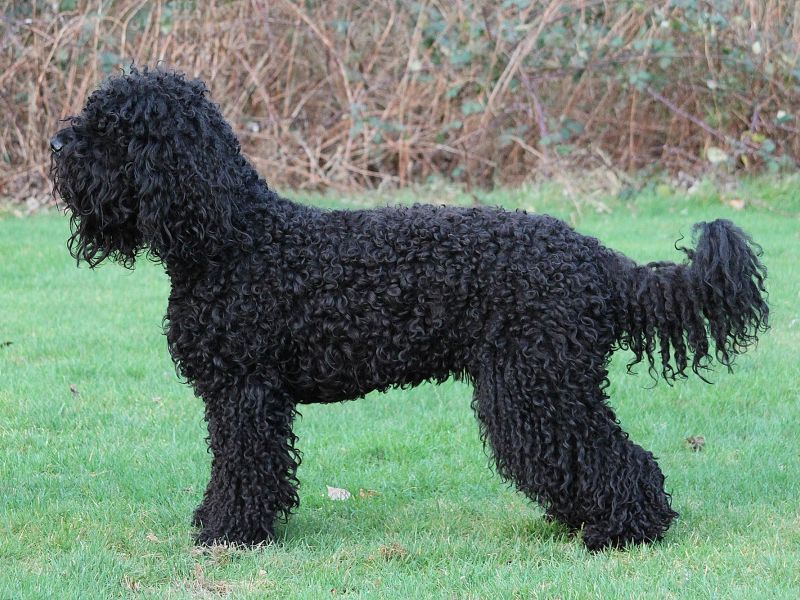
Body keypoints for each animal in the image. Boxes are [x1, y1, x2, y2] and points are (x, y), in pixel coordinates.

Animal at [51, 67, 768, 550]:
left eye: (112, 129)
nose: (56, 146)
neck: (234, 238)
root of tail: (593, 256)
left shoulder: (245, 394)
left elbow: (243, 470)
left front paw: (228, 532)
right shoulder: (246, 395)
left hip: (537, 383)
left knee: (618, 457)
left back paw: (624, 530)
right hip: (546, 382)